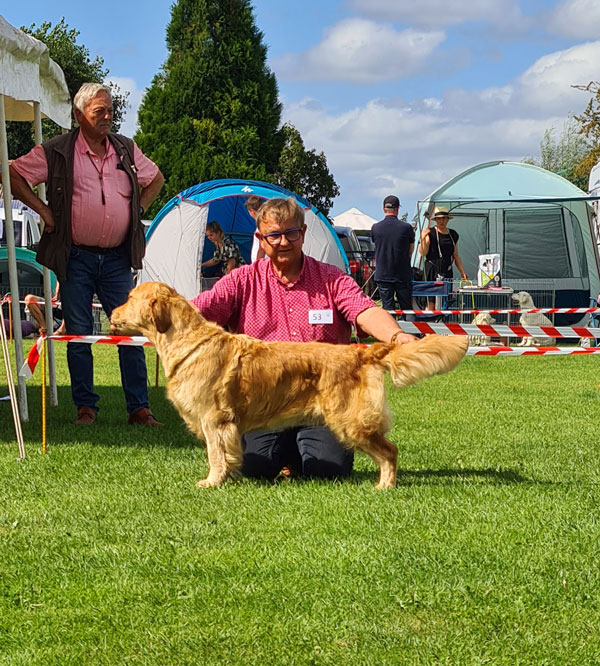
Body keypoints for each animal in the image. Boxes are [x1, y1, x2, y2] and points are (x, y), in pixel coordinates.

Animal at [111, 280, 468, 488]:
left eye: (129, 297)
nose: (112, 312)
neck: (187, 341)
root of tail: (361, 351)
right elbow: (228, 455)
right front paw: (229, 477)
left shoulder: (214, 418)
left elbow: (215, 454)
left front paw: (212, 482)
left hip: (350, 421)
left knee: (390, 451)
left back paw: (385, 485)